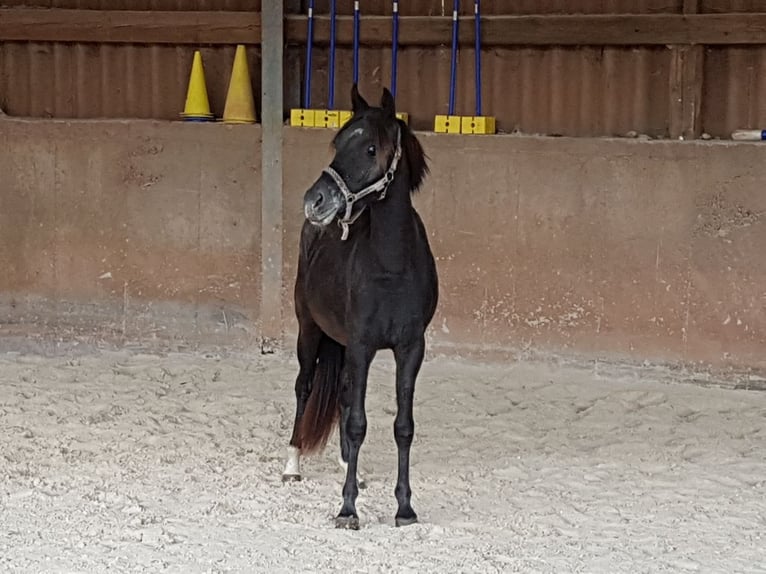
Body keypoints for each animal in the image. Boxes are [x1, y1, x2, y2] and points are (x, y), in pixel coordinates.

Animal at [282, 85, 438, 532]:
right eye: (337, 144)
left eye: (370, 148)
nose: (314, 200)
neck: (392, 265)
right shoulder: (362, 345)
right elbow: (356, 423)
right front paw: (347, 510)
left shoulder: (410, 349)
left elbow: (402, 426)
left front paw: (404, 508)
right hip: (309, 331)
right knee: (305, 387)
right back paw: (292, 464)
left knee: (343, 395)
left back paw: (347, 464)